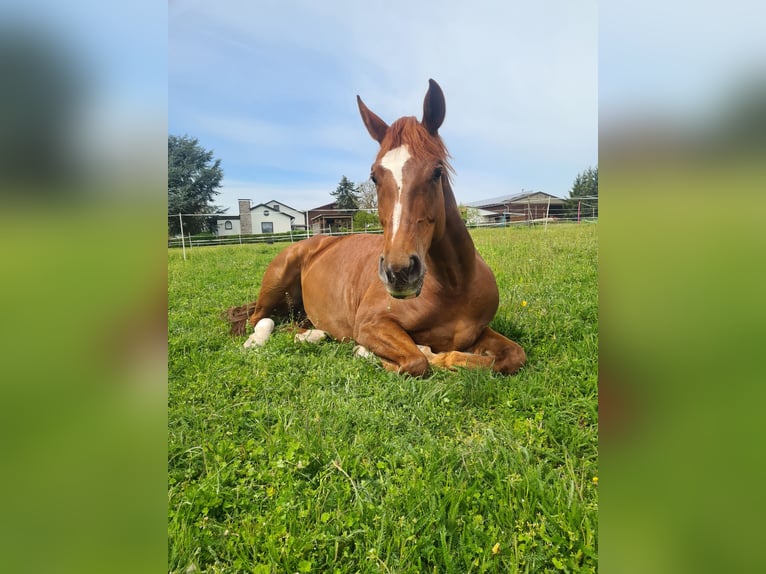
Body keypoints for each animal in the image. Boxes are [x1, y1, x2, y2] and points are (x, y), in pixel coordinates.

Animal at [226, 81, 528, 378]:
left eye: (437, 171)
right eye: (374, 176)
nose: (400, 271)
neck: (453, 286)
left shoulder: (479, 332)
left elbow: (514, 356)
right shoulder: (371, 324)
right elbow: (418, 361)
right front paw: (374, 352)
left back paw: (312, 334)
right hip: (277, 279)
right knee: (260, 319)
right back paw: (256, 340)